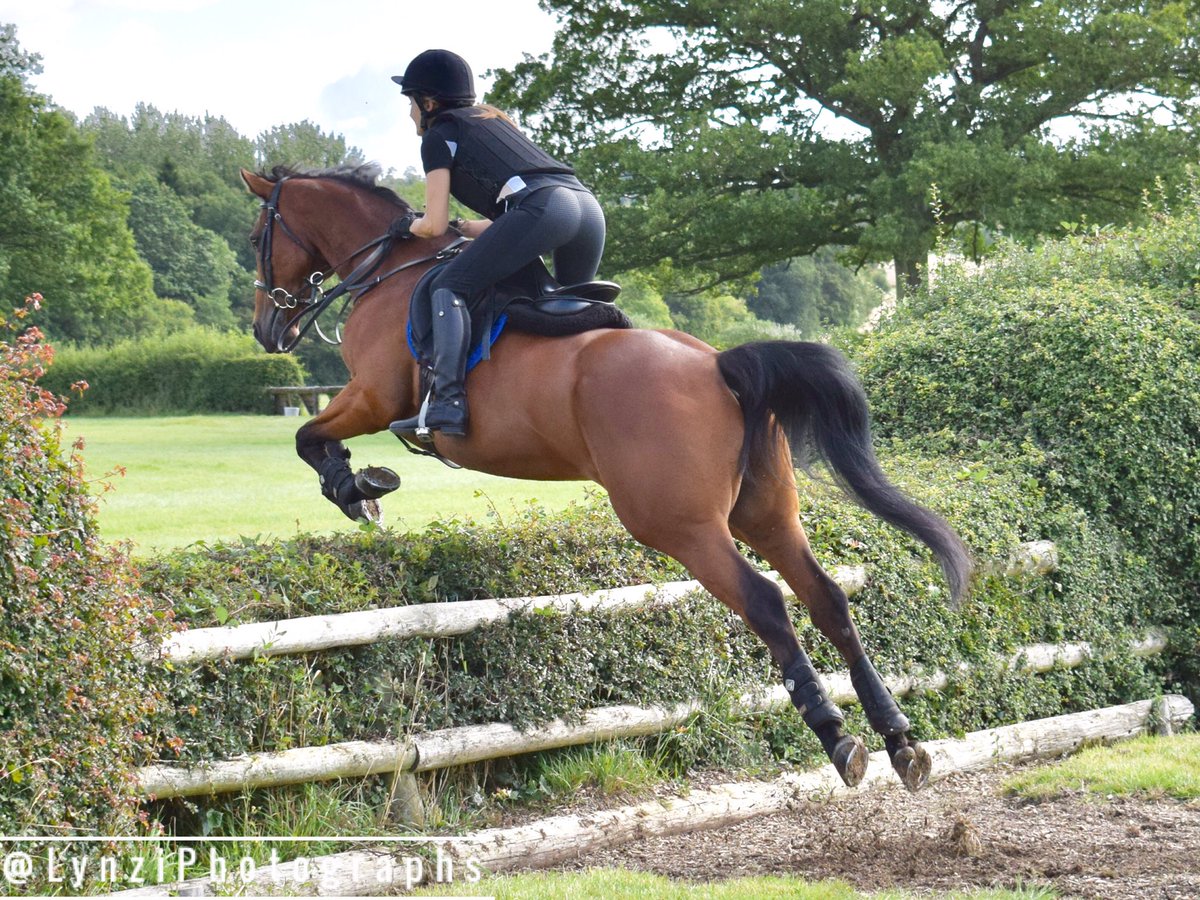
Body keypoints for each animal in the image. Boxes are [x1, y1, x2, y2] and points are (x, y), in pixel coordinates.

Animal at [240, 162, 973, 792]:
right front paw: (362, 487)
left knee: (766, 602)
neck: (389, 270)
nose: (268, 329)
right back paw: (900, 740)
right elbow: (313, 436)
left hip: (677, 524)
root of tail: (719, 367)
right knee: (826, 599)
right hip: (764, 513)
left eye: (256, 239)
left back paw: (837, 737)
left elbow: (310, 437)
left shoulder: (373, 395)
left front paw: (358, 489)